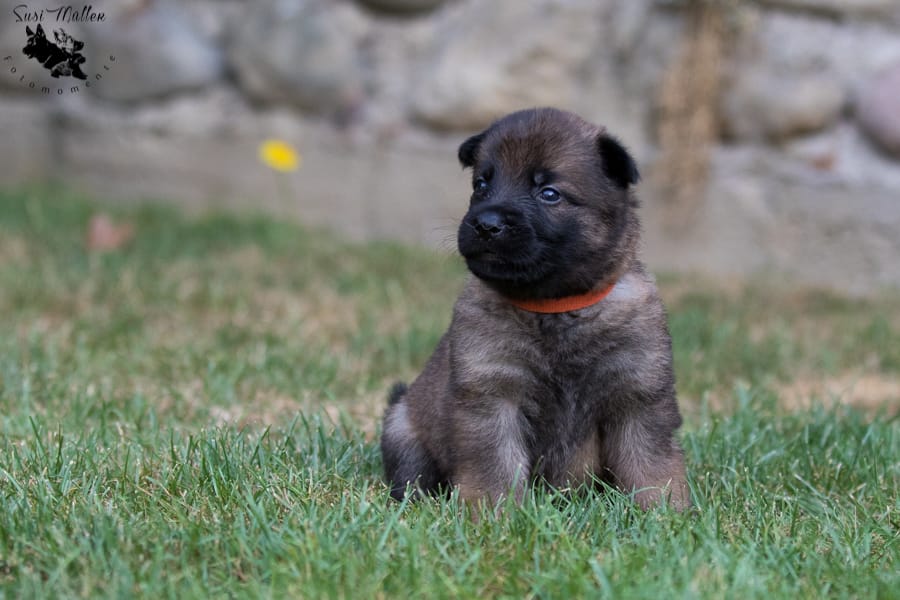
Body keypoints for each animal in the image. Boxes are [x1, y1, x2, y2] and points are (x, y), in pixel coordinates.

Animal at [381, 108, 689, 511]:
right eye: (482, 184)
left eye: (549, 193)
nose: (486, 224)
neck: (554, 307)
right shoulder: (493, 396)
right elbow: (494, 466)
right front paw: (493, 514)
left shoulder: (637, 396)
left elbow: (651, 464)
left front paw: (665, 513)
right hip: (402, 424)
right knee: (411, 473)